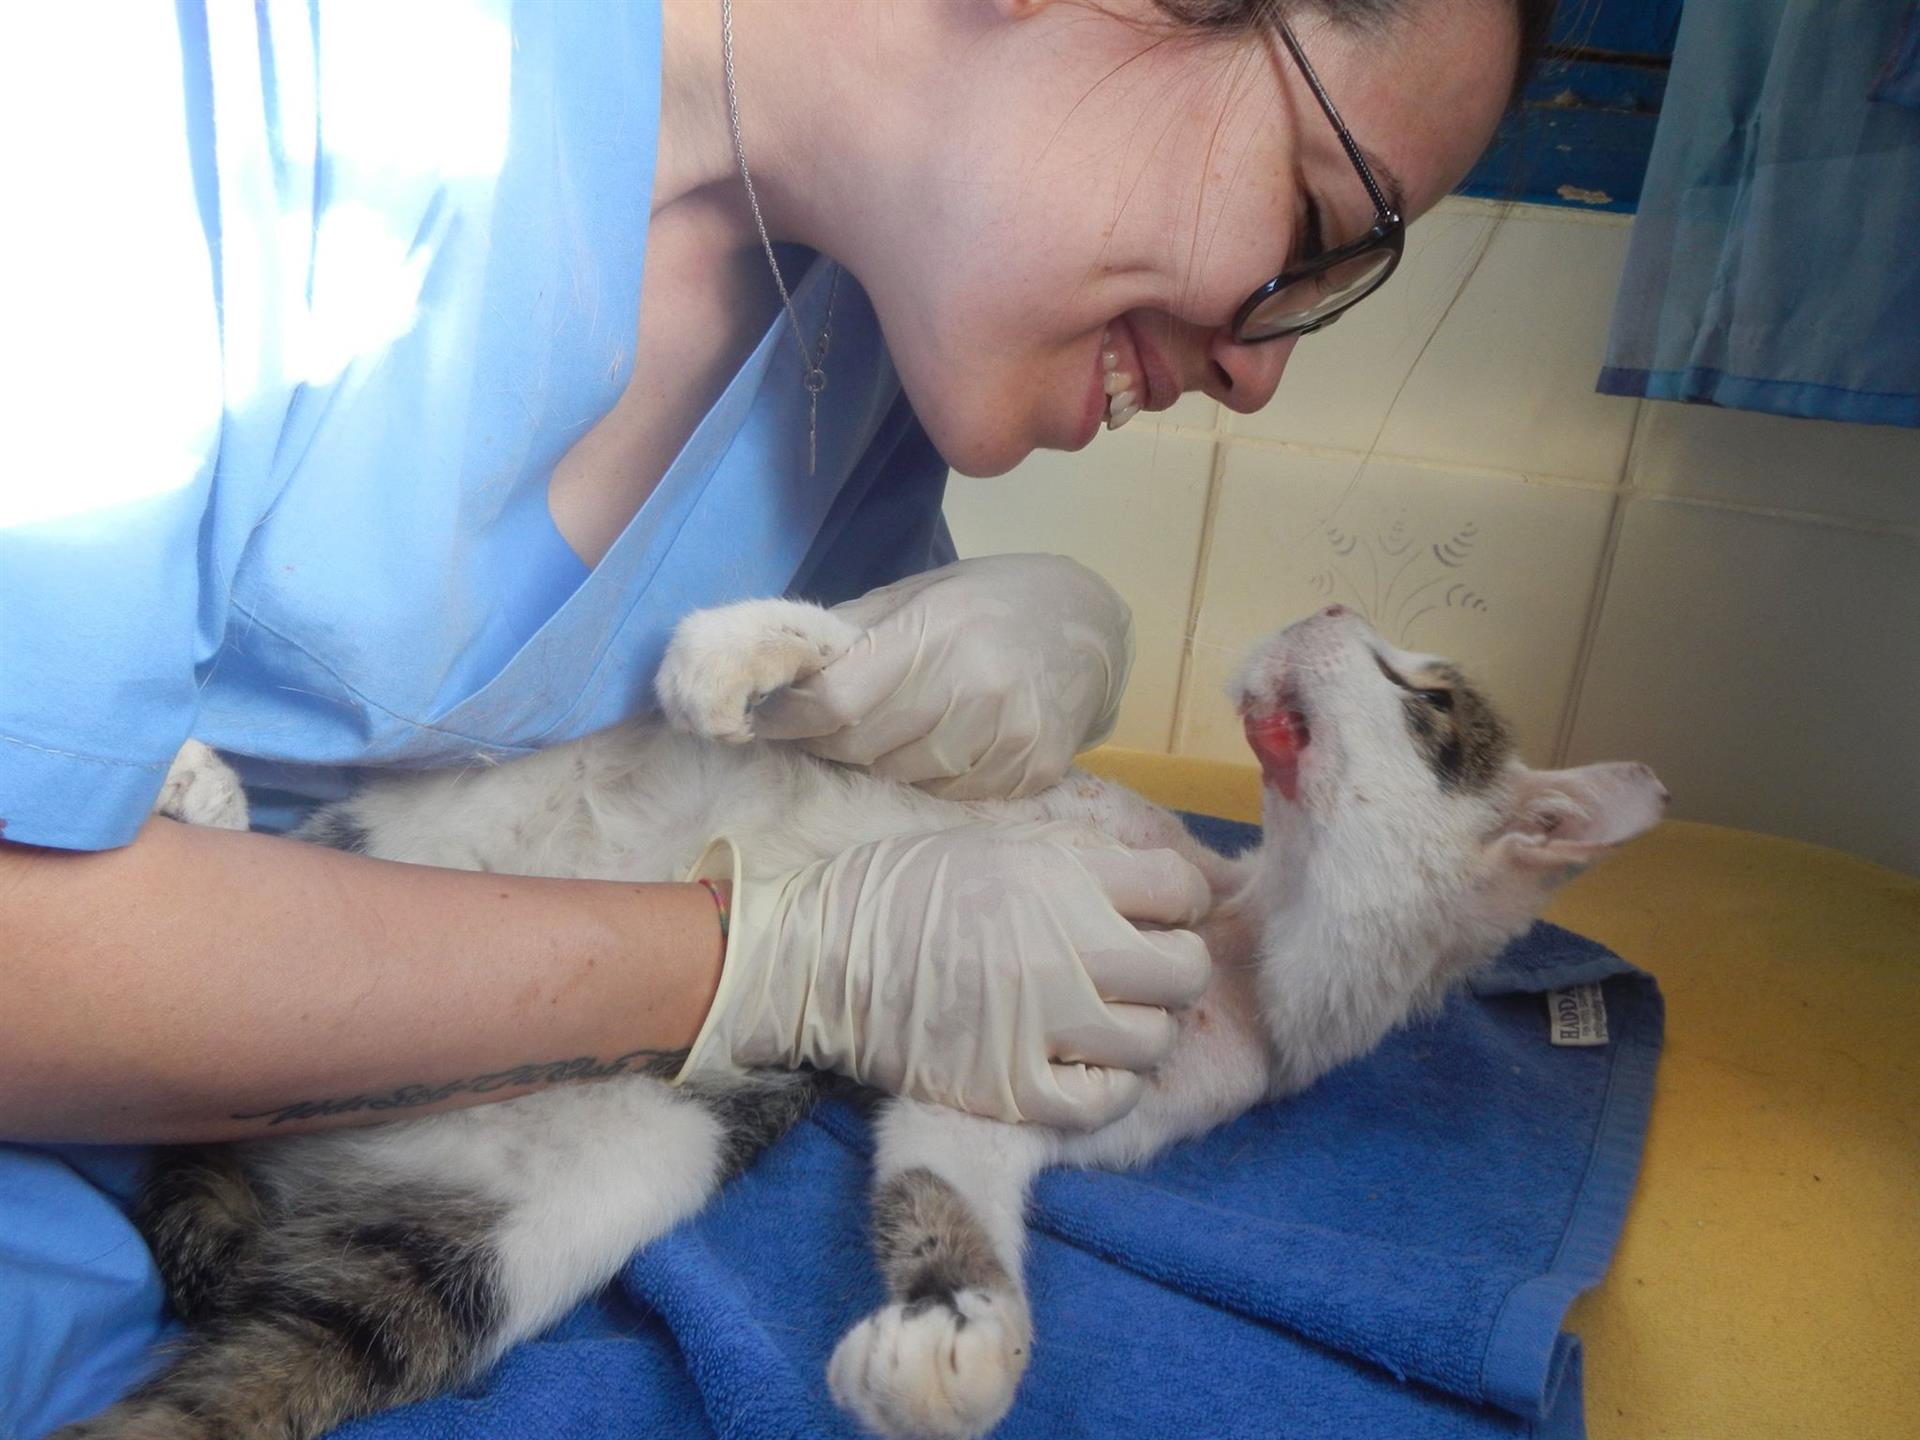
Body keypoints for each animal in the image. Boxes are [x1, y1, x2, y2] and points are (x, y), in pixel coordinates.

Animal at [52, 599, 1658, 1440]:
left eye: (1426, 694)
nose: (1325, 610)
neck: (1228, 924)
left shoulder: (1048, 1084)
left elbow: (953, 1186)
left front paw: (955, 1347)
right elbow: (814, 688)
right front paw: (765, 654)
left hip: (532, 1224)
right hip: (417, 845)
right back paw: (183, 796)